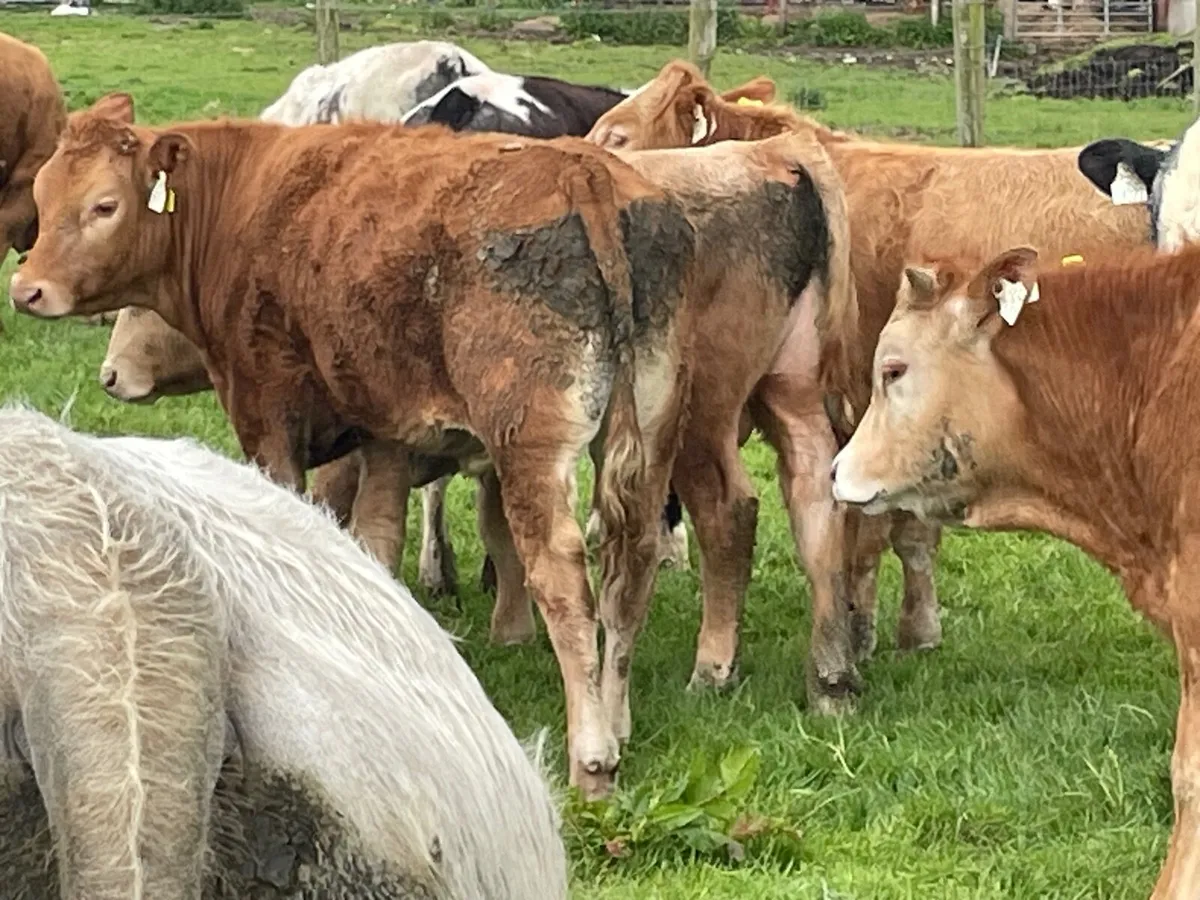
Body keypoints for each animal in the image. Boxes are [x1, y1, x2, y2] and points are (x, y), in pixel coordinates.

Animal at [10, 92, 697, 796]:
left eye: (104, 206)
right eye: (44, 193)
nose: (27, 289)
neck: (245, 199)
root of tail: (583, 172)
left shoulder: (269, 416)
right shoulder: (384, 430)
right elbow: (373, 536)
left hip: (530, 444)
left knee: (560, 576)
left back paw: (593, 754)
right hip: (648, 436)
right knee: (633, 562)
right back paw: (617, 720)